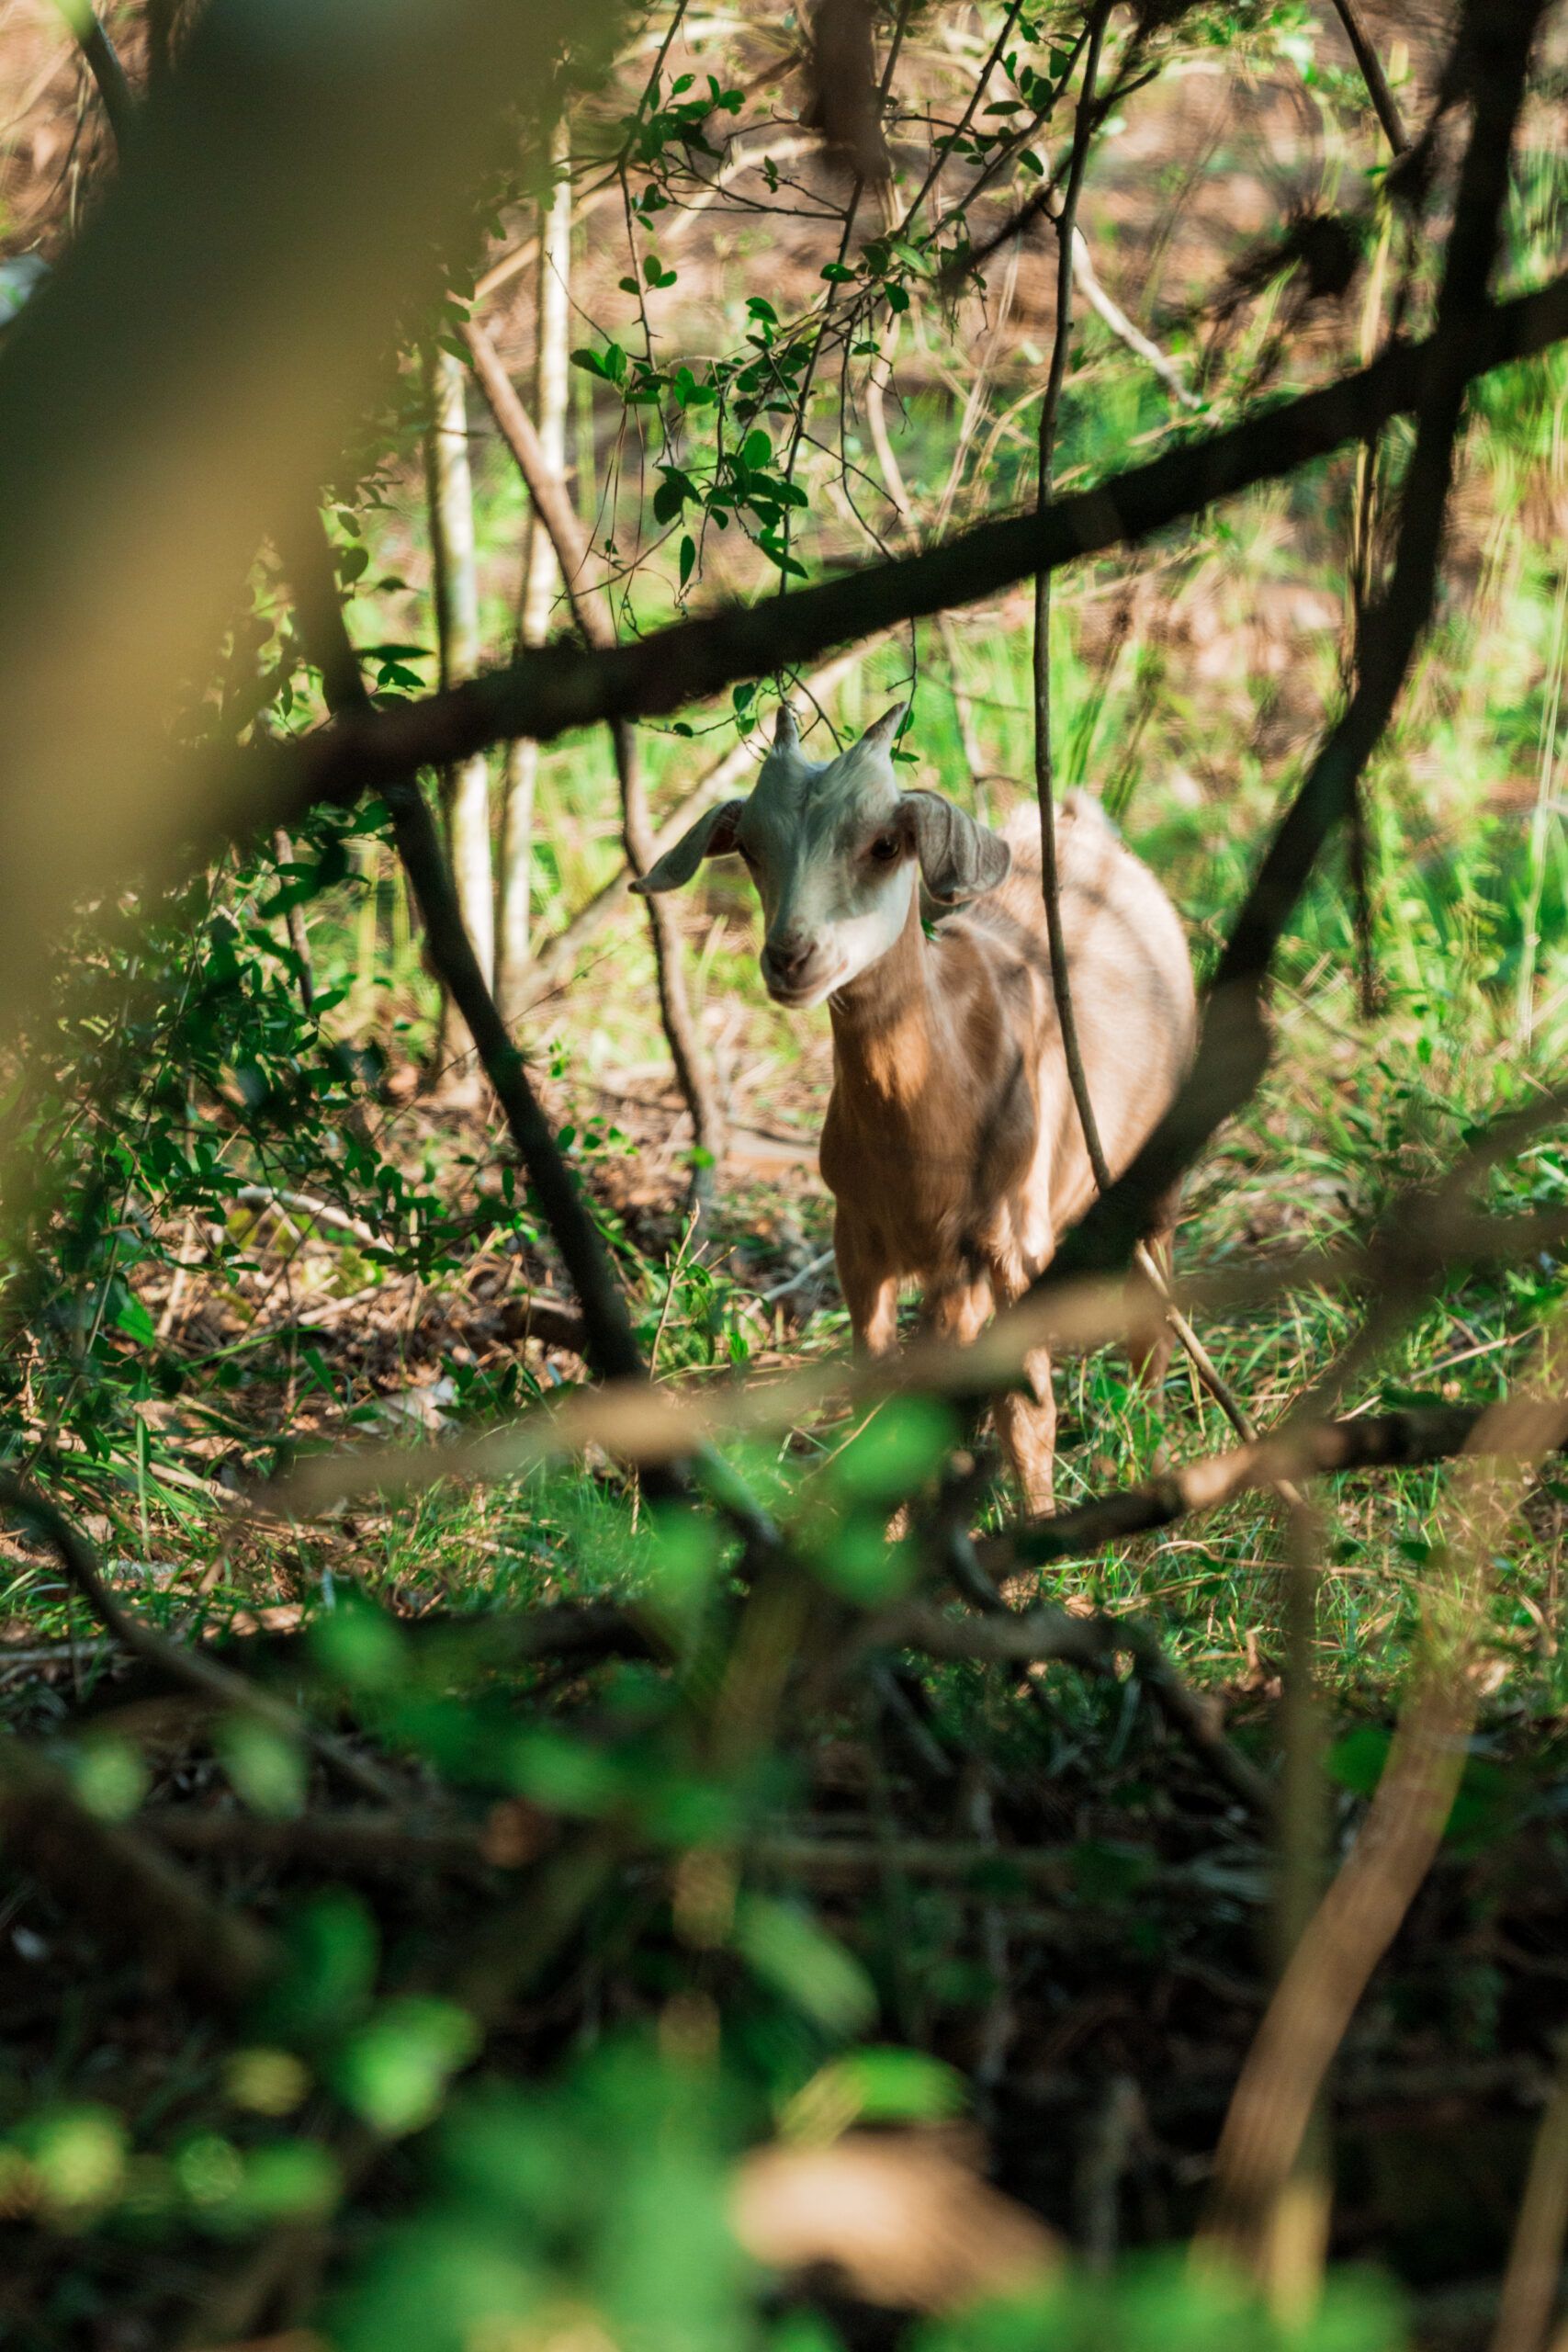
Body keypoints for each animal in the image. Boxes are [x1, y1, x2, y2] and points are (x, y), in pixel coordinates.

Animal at [633, 702, 1197, 1510]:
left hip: (1154, 1166)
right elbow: (882, 1397)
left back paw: (1145, 1455)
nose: (790, 957)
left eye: (884, 843)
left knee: (1151, 1311)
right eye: (748, 846)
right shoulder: (860, 1238)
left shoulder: (1015, 1242)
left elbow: (1026, 1409)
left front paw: (1039, 1534)